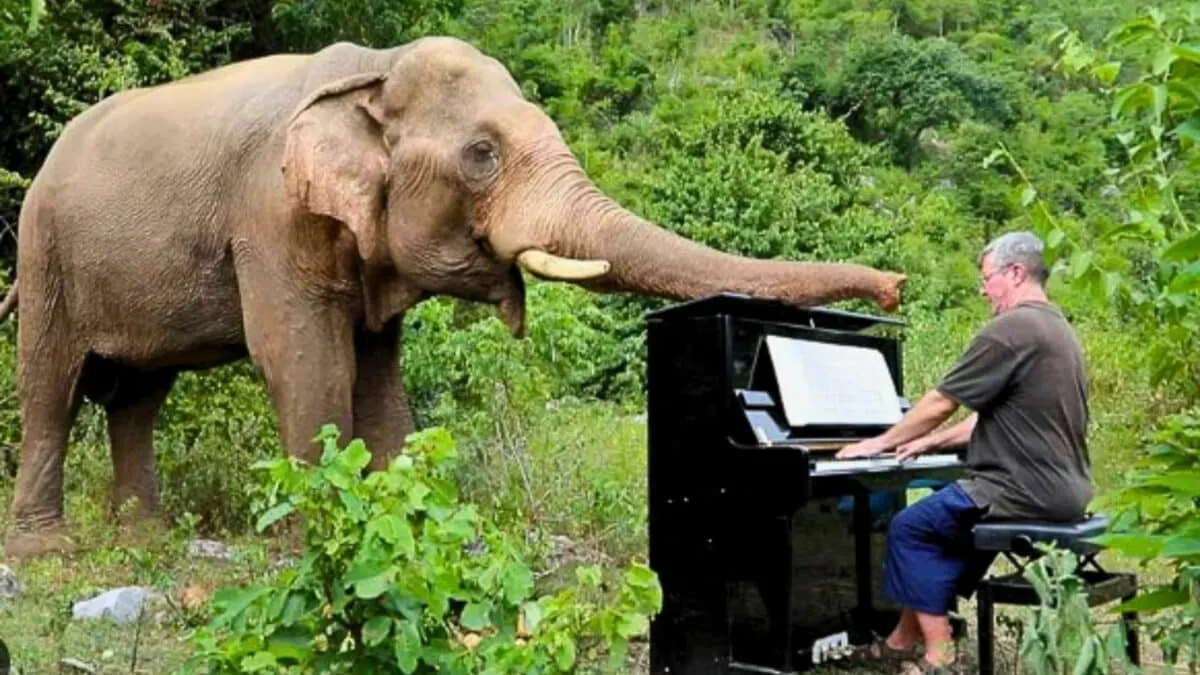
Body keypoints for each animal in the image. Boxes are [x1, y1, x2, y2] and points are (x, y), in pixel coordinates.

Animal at [0, 34, 902, 554]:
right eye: (481, 156)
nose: (895, 288)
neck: (371, 70)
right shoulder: (273, 213)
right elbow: (304, 359)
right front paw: (310, 542)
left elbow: (379, 372)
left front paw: (407, 525)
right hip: (45, 252)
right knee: (51, 383)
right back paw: (47, 548)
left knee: (138, 396)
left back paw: (141, 534)